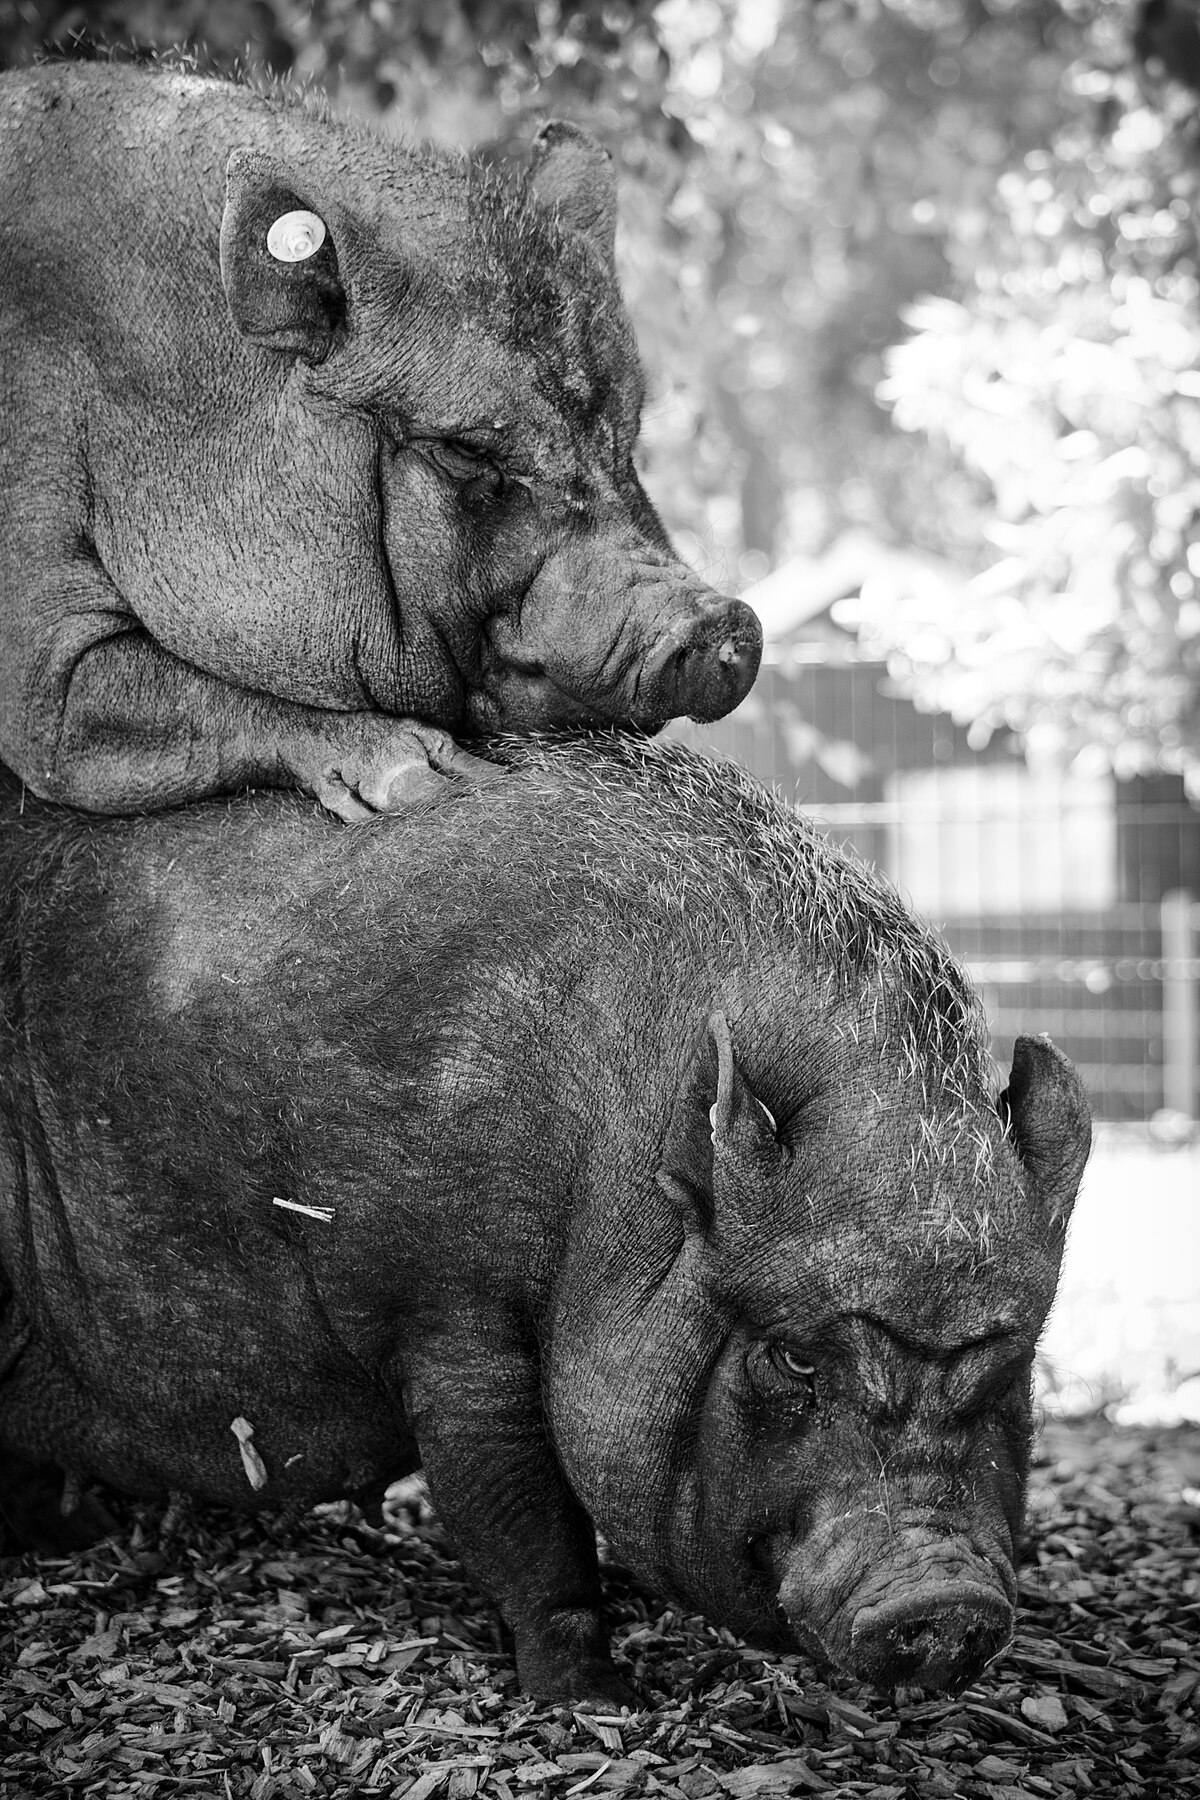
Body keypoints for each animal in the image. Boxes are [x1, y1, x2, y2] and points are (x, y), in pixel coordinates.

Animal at [0, 61, 759, 824]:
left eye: (626, 436)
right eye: (464, 450)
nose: (727, 622)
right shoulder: (37, 631)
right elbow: (88, 713)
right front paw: (435, 782)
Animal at [0, 734, 1093, 1699]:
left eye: (1014, 1360)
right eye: (792, 1356)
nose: (945, 1600)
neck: (614, 1155)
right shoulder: (446, 1319)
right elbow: (523, 1524)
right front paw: (602, 1701)